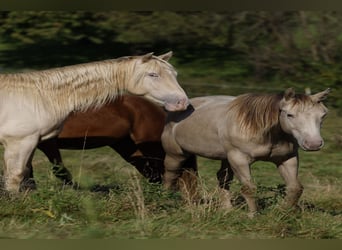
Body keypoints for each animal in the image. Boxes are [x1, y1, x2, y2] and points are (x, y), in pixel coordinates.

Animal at [0, 50, 190, 191]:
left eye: (174, 74)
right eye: (153, 74)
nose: (182, 102)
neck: (39, 97)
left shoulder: (32, 143)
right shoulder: (22, 143)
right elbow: (17, 178)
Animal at [163, 89, 332, 216]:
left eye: (323, 115)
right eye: (290, 115)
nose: (313, 144)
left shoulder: (287, 159)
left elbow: (295, 188)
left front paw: (282, 211)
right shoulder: (240, 159)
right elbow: (249, 188)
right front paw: (253, 215)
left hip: (226, 158)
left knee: (223, 178)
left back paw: (227, 209)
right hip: (176, 155)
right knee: (170, 175)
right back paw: (164, 200)